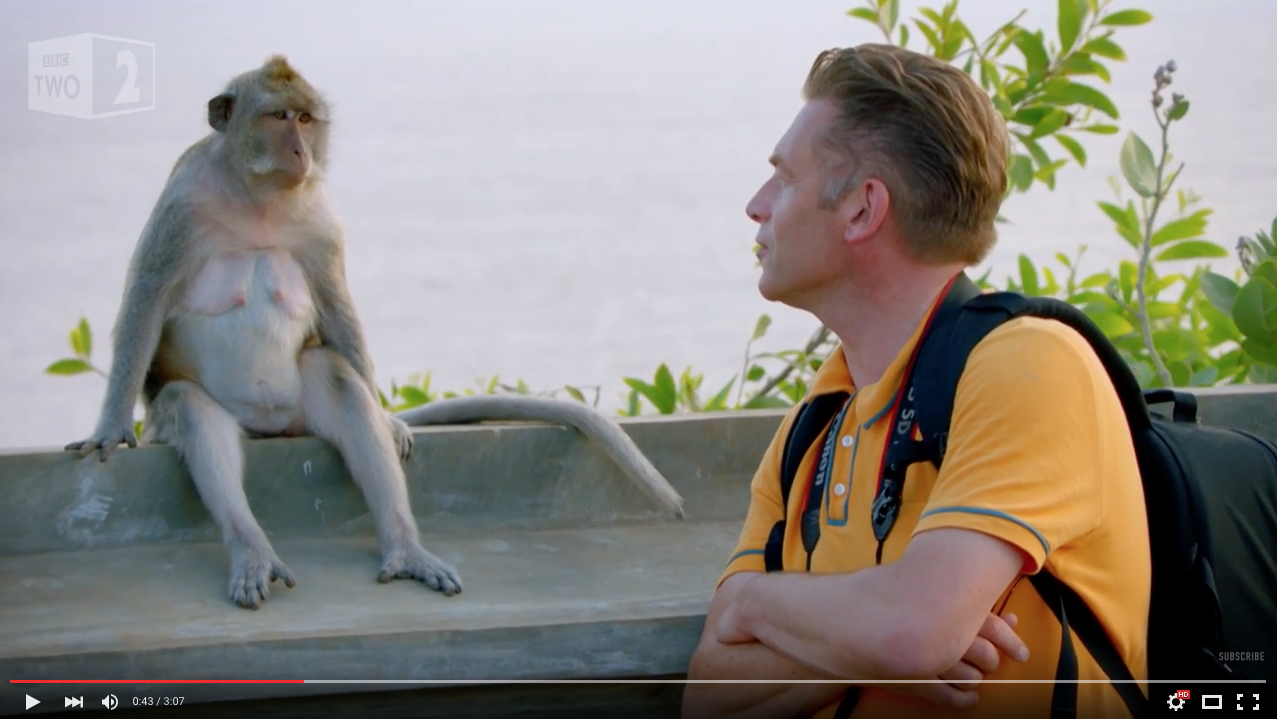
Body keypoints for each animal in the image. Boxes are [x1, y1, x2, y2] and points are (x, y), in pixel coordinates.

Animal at [65, 55, 683, 610]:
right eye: (278, 116)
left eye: (306, 118)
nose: (301, 150)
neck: (258, 197)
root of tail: (268, 429)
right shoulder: (182, 205)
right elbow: (146, 297)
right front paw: (110, 427)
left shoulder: (319, 217)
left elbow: (336, 304)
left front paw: (387, 419)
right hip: (201, 411)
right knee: (194, 414)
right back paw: (252, 551)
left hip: (299, 404)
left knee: (338, 380)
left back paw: (404, 545)